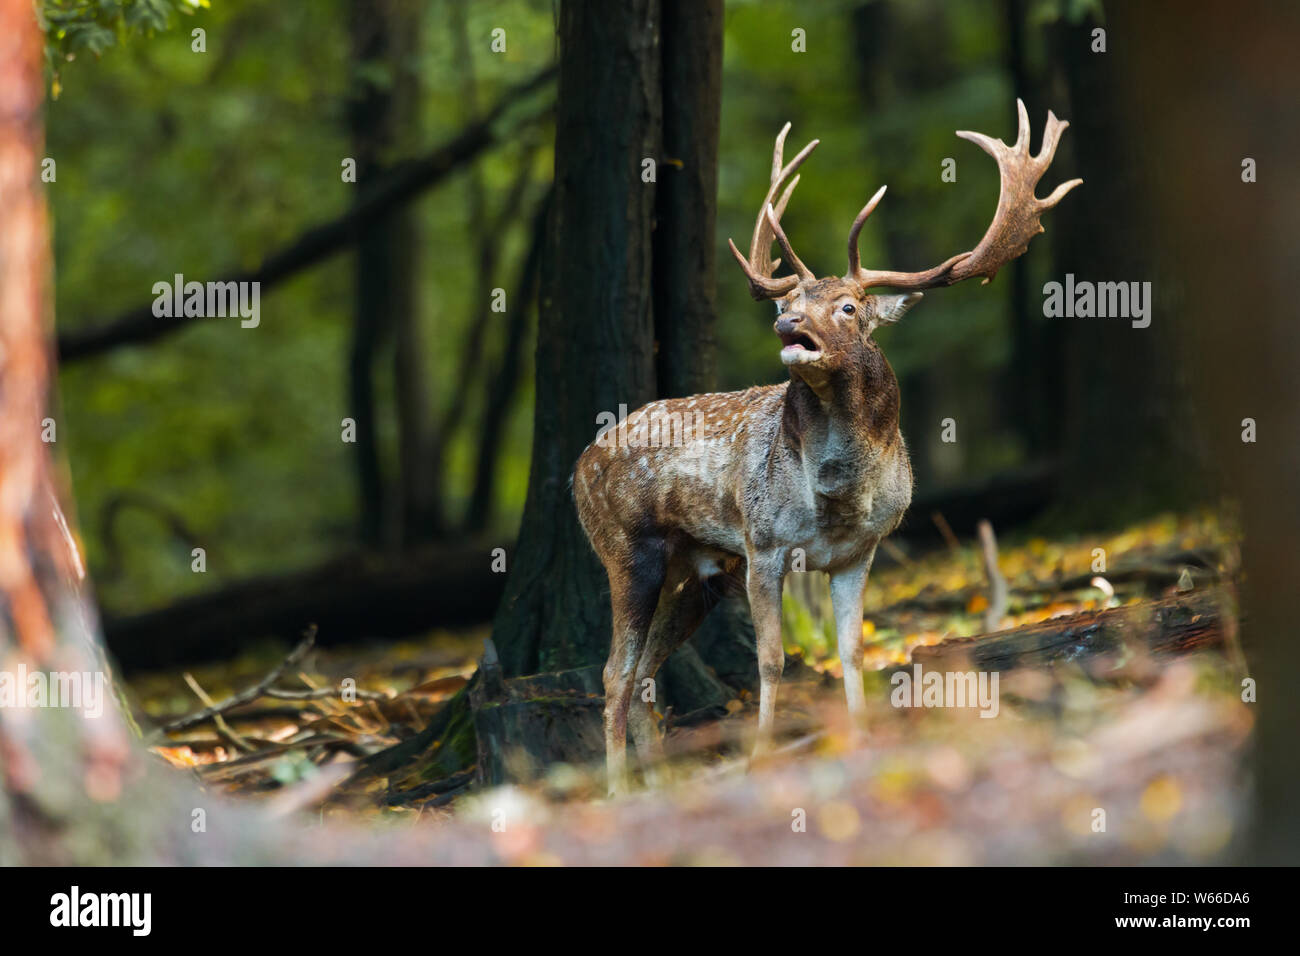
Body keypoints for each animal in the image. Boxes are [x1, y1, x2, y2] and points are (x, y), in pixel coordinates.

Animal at [577, 100, 1076, 796]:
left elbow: (852, 649)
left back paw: (657, 782)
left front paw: (861, 738)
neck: (837, 494)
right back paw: (621, 788)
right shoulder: (763, 545)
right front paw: (761, 757)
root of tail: (578, 465)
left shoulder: (858, 552)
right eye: (788, 300)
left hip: (698, 566)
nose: (787, 324)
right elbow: (772, 658)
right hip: (627, 546)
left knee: (646, 668)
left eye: (847, 306)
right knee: (614, 671)